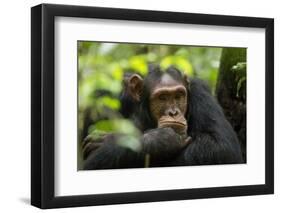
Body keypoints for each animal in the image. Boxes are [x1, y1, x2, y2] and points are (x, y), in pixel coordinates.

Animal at [82, 65, 242, 170]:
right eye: (162, 97)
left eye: (178, 96)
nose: (173, 113)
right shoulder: (102, 97)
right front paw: (161, 140)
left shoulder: (200, 93)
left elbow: (221, 146)